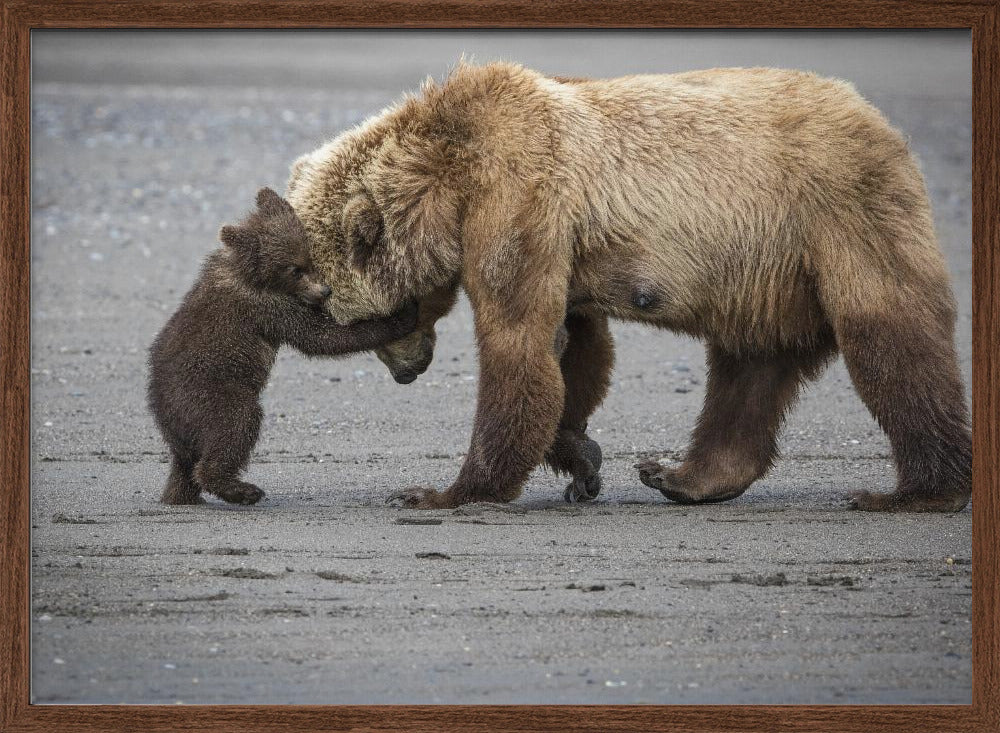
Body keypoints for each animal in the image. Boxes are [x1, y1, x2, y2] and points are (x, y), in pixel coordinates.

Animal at [147, 187, 418, 506]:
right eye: (294, 269)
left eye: (309, 258)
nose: (324, 291)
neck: (250, 274)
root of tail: (164, 416)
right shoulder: (267, 307)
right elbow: (319, 337)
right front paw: (402, 315)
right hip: (209, 394)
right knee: (236, 424)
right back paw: (241, 489)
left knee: (185, 465)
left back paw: (182, 495)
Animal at [285, 61, 971, 513]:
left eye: (359, 320)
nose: (407, 372)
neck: (448, 177)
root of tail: (880, 121)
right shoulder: (559, 237)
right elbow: (574, 347)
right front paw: (581, 459)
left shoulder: (519, 196)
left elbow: (518, 343)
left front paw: (446, 491)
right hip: (765, 274)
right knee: (749, 368)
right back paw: (682, 476)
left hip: (837, 213)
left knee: (891, 339)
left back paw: (917, 491)